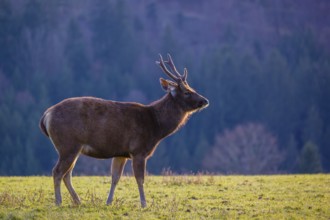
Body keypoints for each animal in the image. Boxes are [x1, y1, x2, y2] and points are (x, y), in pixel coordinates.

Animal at [39, 54, 209, 207]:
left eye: (192, 88)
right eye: (186, 92)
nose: (205, 101)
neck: (156, 126)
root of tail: (46, 115)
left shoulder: (121, 153)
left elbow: (115, 178)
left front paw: (108, 202)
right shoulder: (138, 150)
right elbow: (140, 179)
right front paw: (144, 204)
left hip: (73, 148)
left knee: (67, 174)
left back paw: (78, 201)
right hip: (68, 144)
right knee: (57, 171)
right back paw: (59, 202)